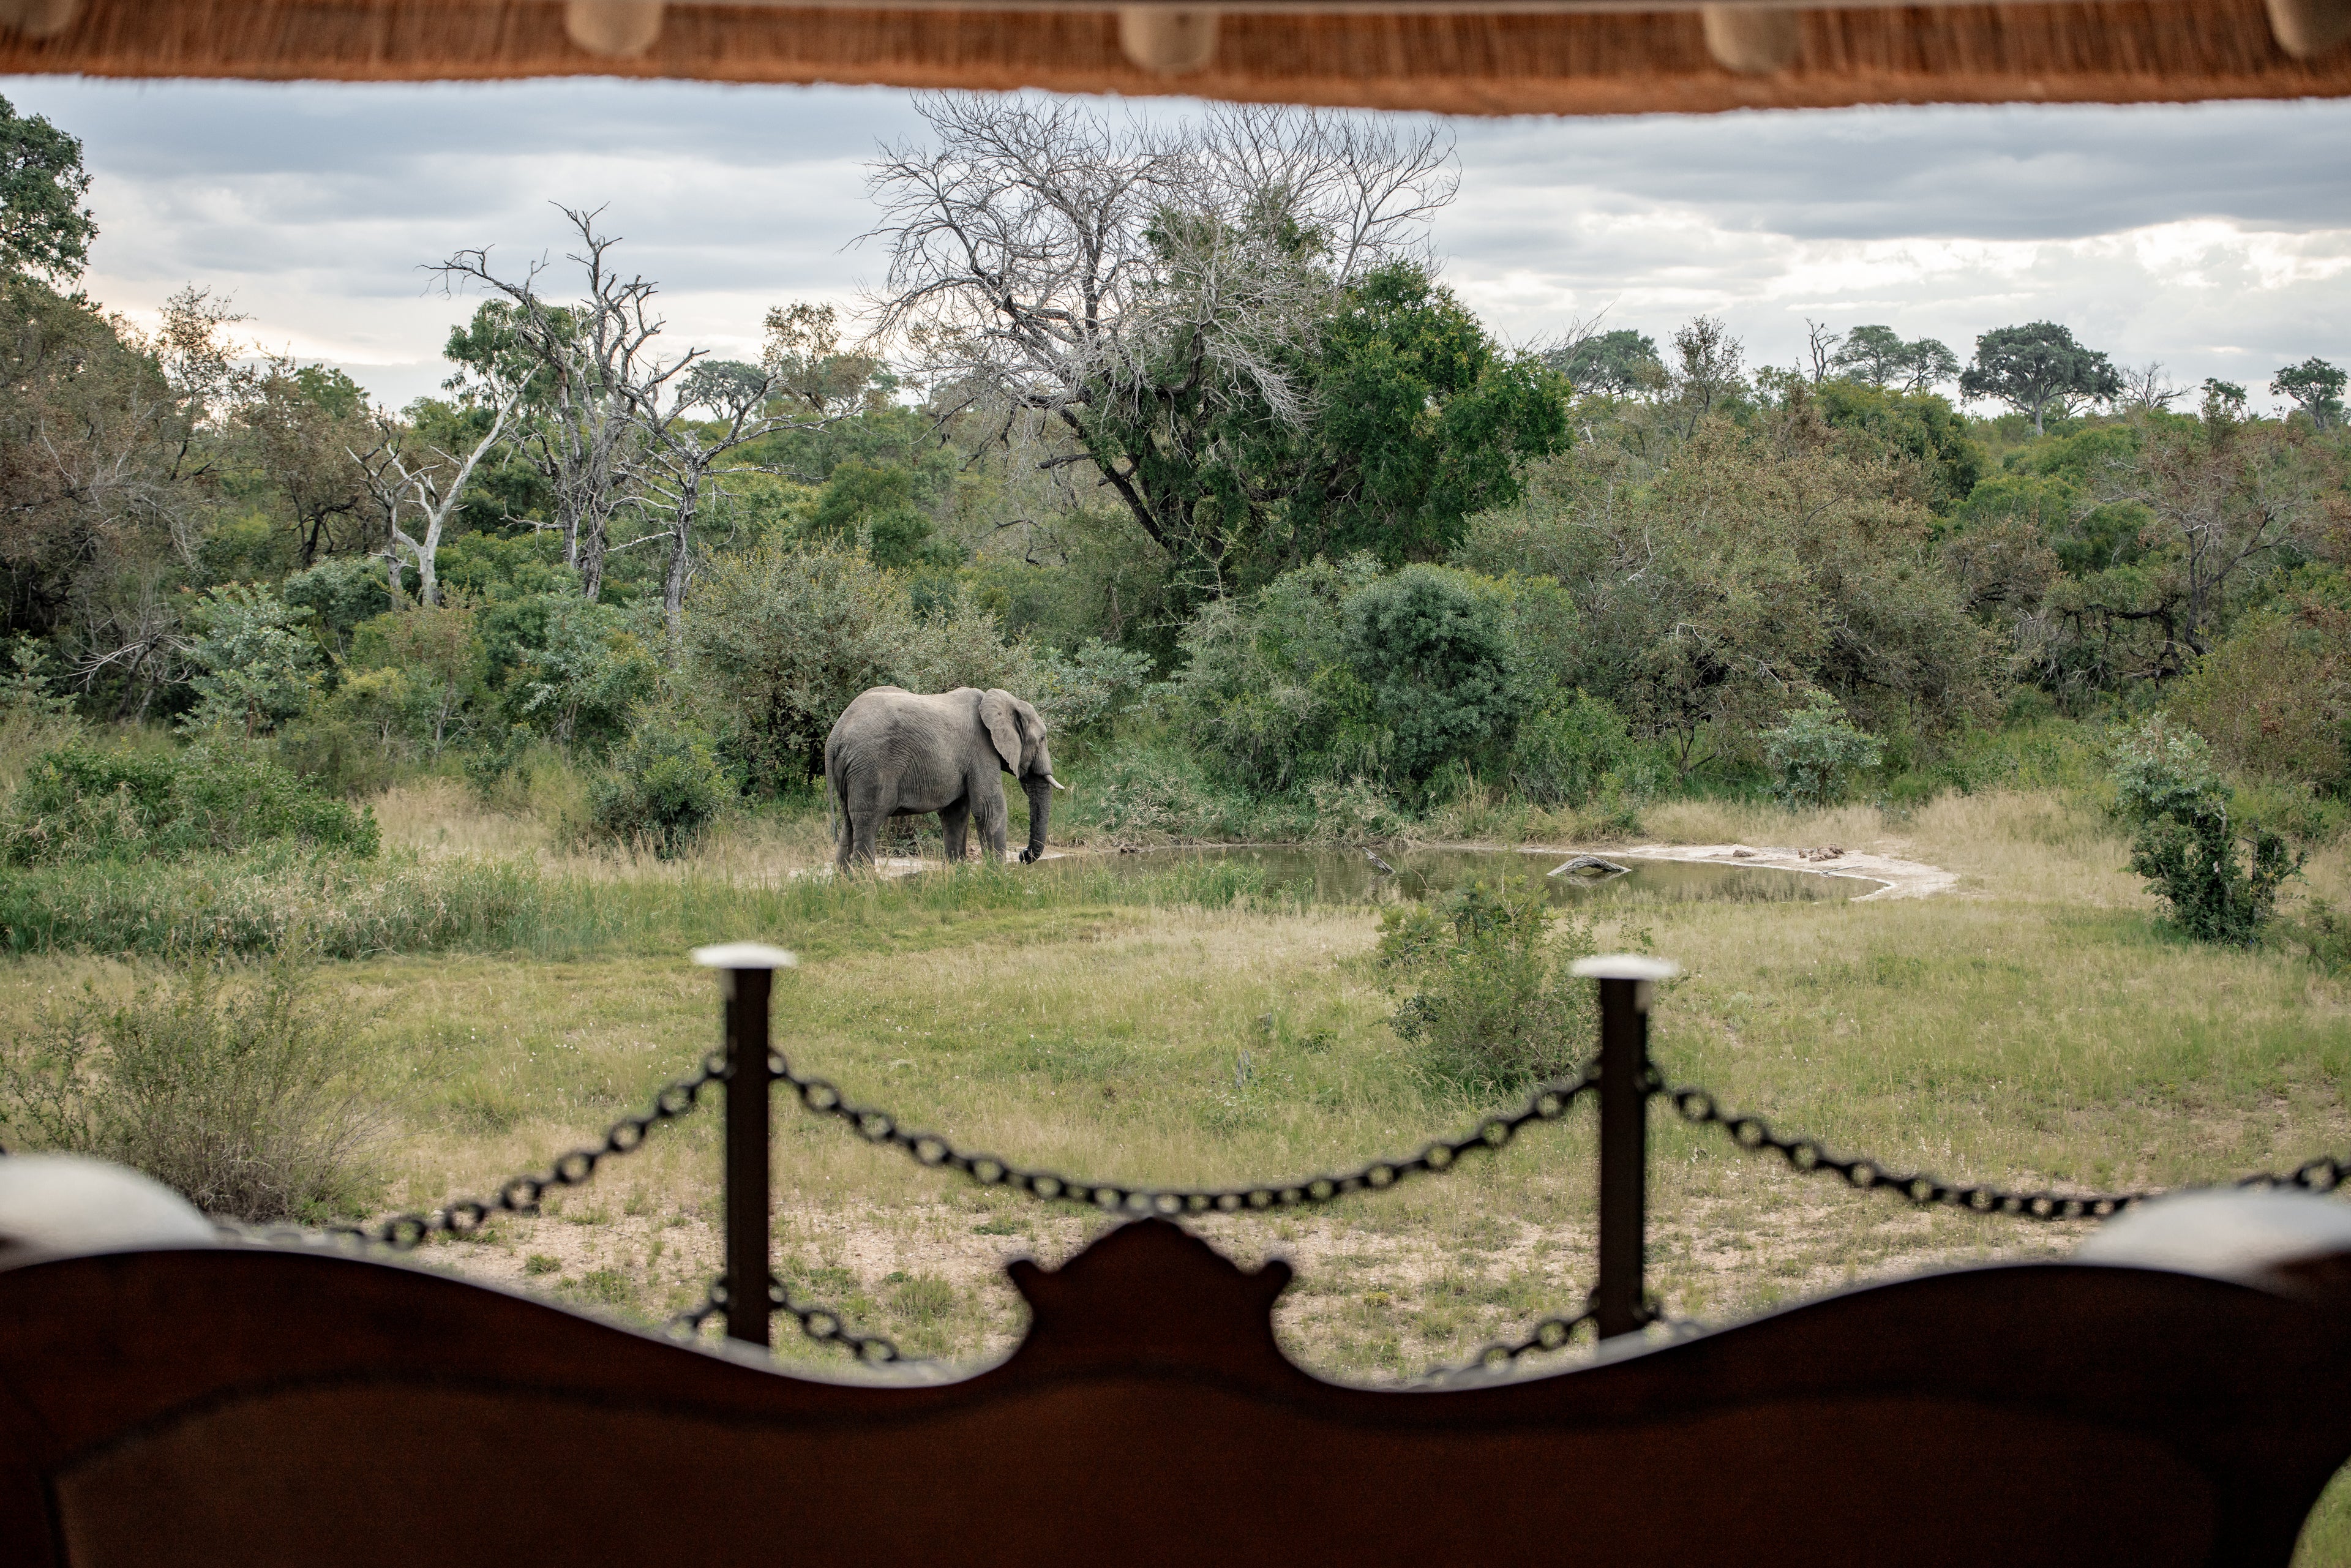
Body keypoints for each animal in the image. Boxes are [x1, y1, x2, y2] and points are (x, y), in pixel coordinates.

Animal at [825, 686, 1063, 868]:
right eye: (1043, 738)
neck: (1002, 701)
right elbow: (989, 810)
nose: (1023, 855)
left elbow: (955, 814)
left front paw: (957, 874)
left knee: (849, 824)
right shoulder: (981, 750)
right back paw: (865, 886)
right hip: (872, 767)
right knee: (867, 824)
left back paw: (845, 885)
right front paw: (998, 876)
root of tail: (836, 735)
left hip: (852, 770)